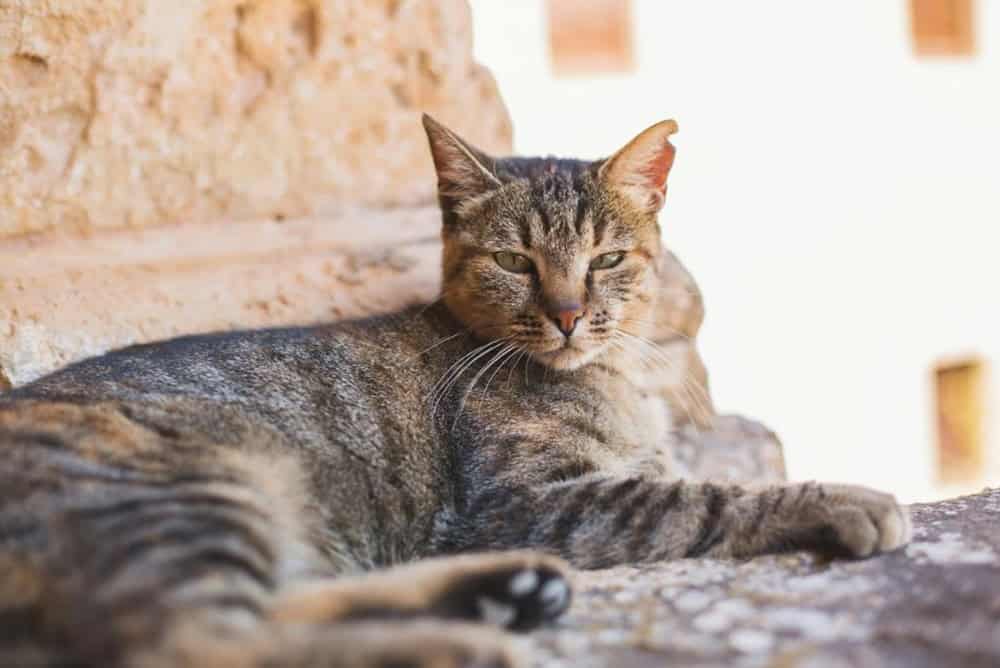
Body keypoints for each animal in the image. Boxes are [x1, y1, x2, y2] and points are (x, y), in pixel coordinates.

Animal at [0, 117, 908, 664]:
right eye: (514, 262)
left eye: (607, 259)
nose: (568, 314)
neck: (609, 383)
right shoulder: (526, 500)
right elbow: (706, 497)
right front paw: (837, 498)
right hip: (193, 483)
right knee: (198, 642)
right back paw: (464, 641)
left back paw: (498, 595)